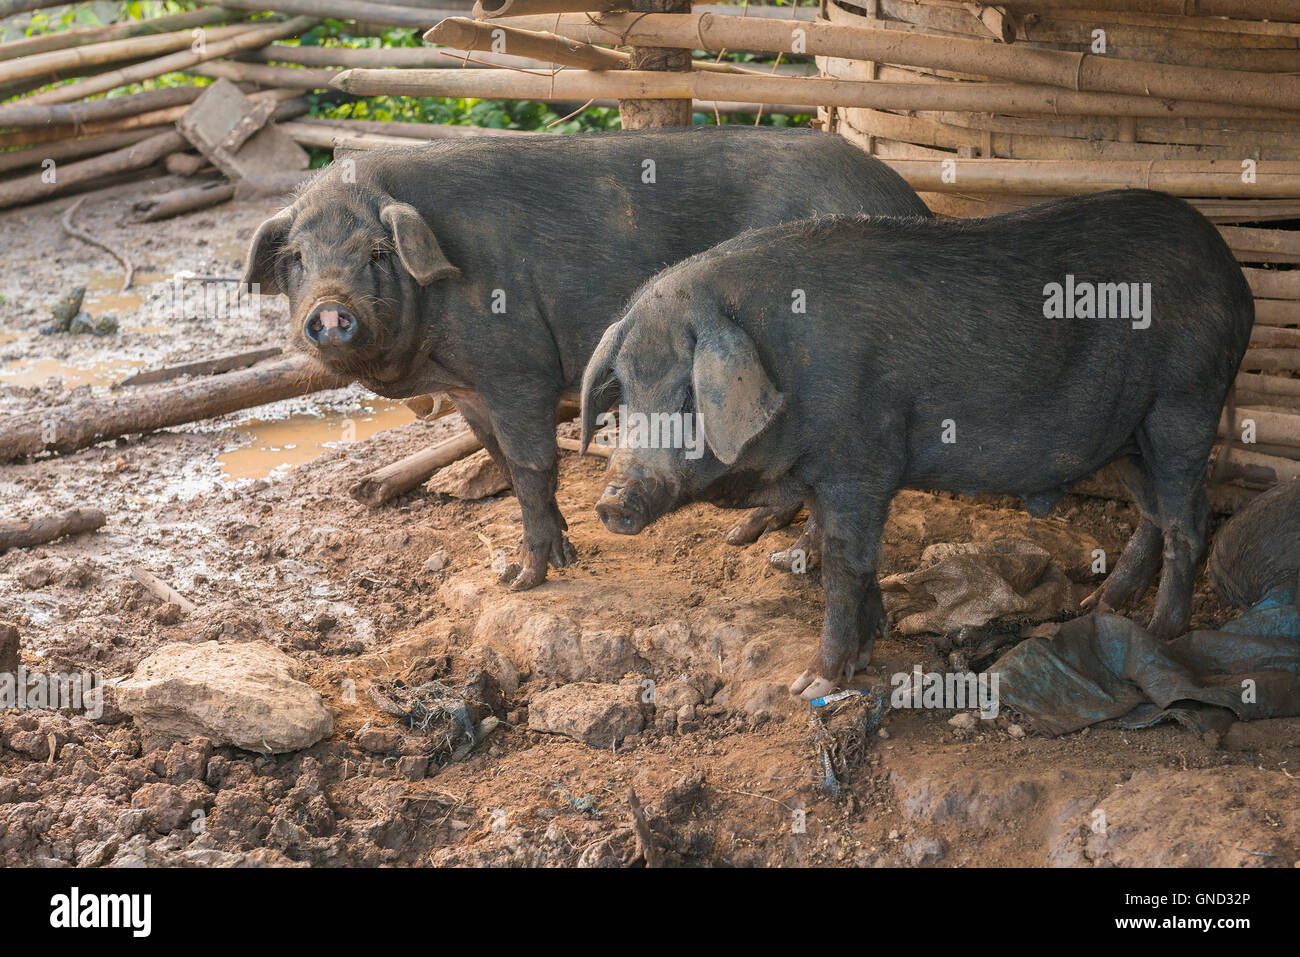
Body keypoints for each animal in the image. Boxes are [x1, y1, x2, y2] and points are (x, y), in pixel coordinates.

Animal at [241, 127, 930, 589]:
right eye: (297, 258)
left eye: (378, 253)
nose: (330, 309)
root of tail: (911, 200)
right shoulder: (469, 393)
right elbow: (500, 461)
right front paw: (555, 554)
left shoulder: (517, 370)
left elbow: (530, 464)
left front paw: (523, 580)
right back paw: (746, 535)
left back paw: (788, 560)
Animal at [581, 189, 1255, 700]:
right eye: (626, 393)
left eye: (688, 396)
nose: (612, 501)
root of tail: (1233, 272)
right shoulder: (829, 474)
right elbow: (848, 557)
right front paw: (866, 651)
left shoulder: (860, 462)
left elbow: (844, 567)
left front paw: (810, 685)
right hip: (1128, 433)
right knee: (1152, 512)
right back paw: (1099, 605)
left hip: (1185, 400)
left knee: (1189, 516)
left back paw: (1162, 635)